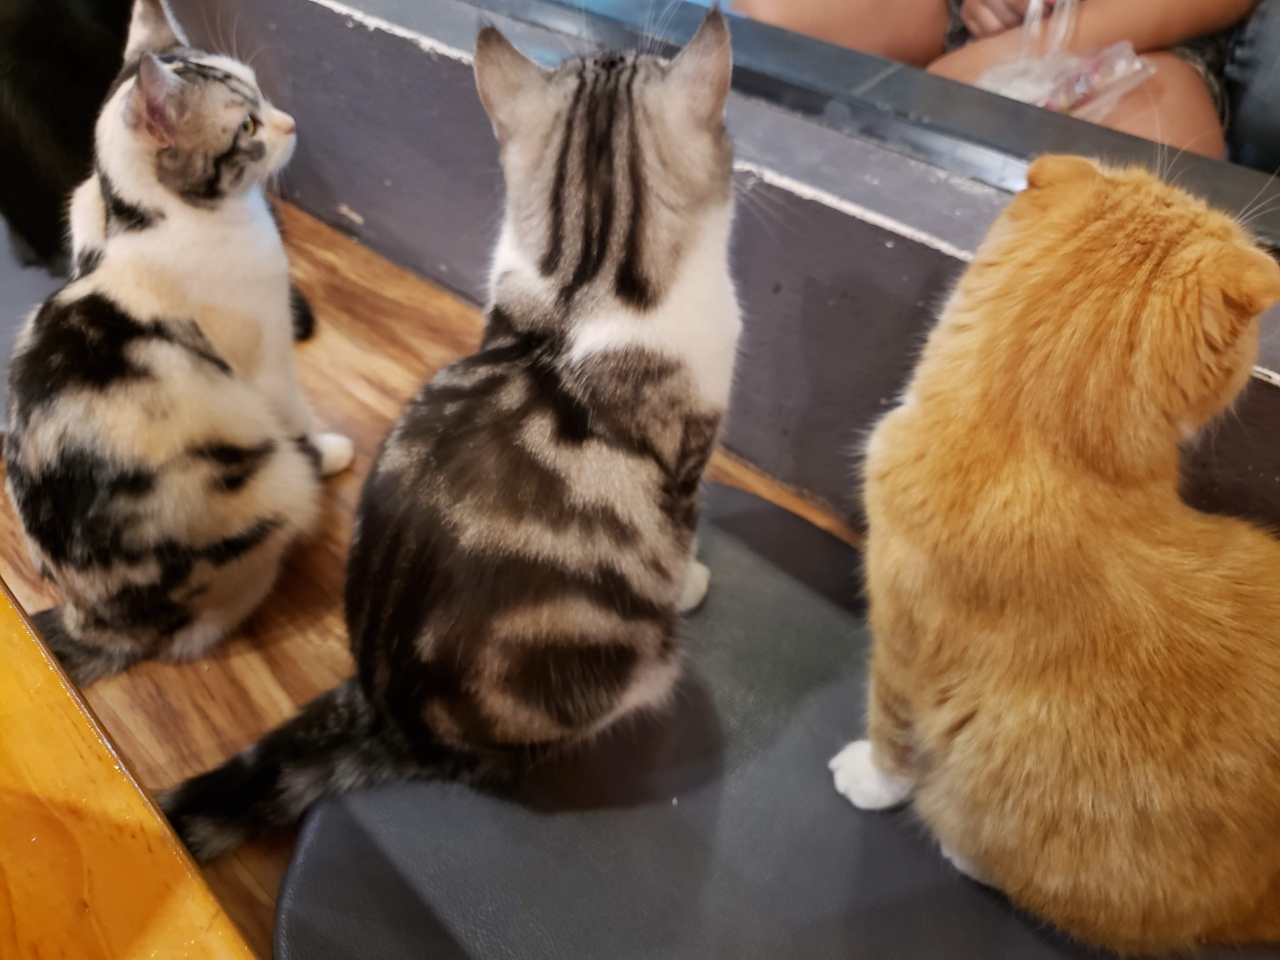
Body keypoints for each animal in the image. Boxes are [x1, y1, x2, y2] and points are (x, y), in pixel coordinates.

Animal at [6, 0, 354, 687]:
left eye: (261, 93)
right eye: (247, 124)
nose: (291, 122)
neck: (146, 220)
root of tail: (95, 620)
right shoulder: (267, 363)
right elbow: (297, 414)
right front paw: (328, 451)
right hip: (266, 498)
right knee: (198, 632)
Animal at [160, 9, 739, 862]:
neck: (582, 286)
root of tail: (387, 717)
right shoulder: (686, 464)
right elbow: (685, 537)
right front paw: (692, 580)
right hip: (633, 667)